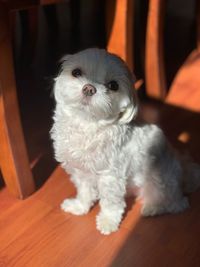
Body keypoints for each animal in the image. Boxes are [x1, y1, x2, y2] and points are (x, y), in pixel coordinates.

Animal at [50, 48, 200, 234]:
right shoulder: (81, 171)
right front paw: (79, 206)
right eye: (76, 72)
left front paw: (108, 222)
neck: (87, 125)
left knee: (177, 203)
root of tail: (184, 170)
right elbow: (85, 192)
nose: (89, 88)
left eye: (113, 85)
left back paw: (152, 208)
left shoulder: (111, 177)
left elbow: (111, 202)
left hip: (159, 182)